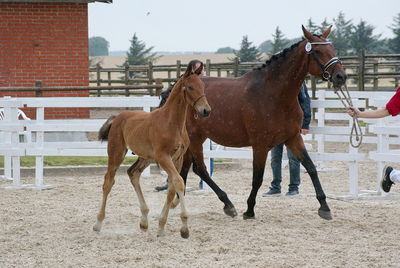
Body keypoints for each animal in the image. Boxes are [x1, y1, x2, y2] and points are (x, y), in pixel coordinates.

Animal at [93, 65, 211, 239]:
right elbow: (178, 182)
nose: (206, 111)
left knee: (133, 173)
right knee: (108, 181)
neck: (172, 123)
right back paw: (98, 223)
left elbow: (172, 187)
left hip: (145, 157)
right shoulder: (163, 157)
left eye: (202, 86)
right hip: (117, 152)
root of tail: (118, 117)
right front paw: (184, 228)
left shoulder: (178, 158)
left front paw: (161, 227)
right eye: (190, 87)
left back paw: (144, 221)